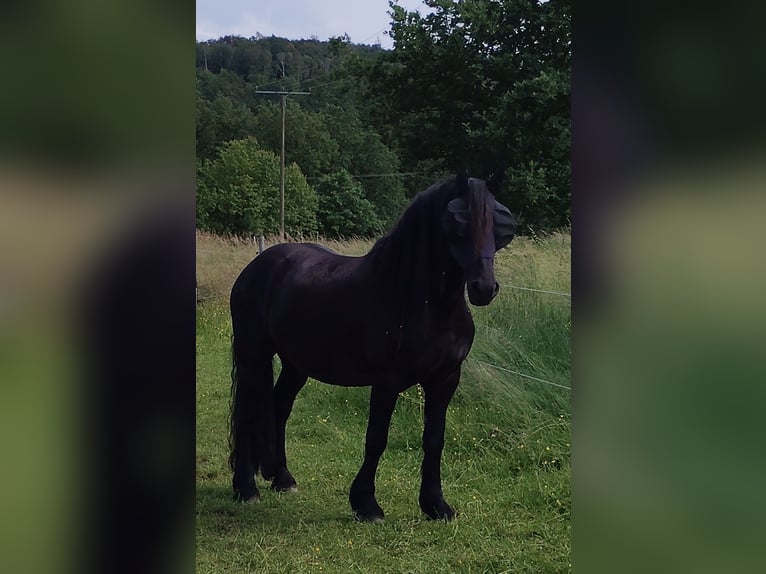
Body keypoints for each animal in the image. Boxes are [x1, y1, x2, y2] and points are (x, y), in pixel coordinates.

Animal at [228, 171, 516, 521]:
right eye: (457, 222)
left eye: (500, 224)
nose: (483, 288)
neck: (423, 302)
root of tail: (256, 267)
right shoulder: (387, 381)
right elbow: (376, 439)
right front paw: (366, 504)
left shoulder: (445, 379)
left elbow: (435, 440)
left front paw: (436, 504)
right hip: (253, 355)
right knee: (247, 412)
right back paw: (246, 489)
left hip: (296, 363)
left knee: (279, 405)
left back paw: (283, 478)